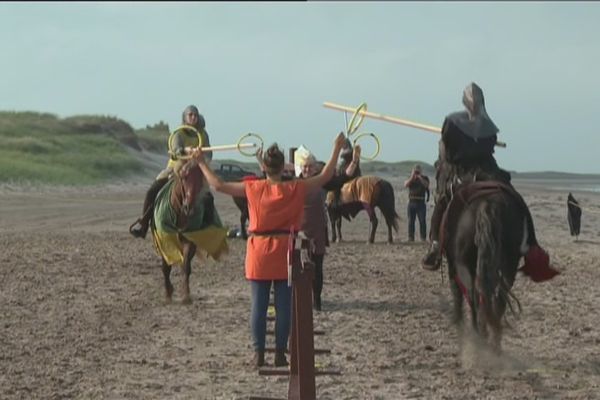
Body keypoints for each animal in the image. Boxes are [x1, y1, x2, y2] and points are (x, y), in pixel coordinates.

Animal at [152, 159, 230, 304]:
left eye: (201, 178)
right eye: (184, 177)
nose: (189, 207)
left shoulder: (191, 240)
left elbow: (186, 267)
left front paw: (186, 295)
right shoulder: (164, 240)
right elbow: (166, 267)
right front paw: (168, 294)